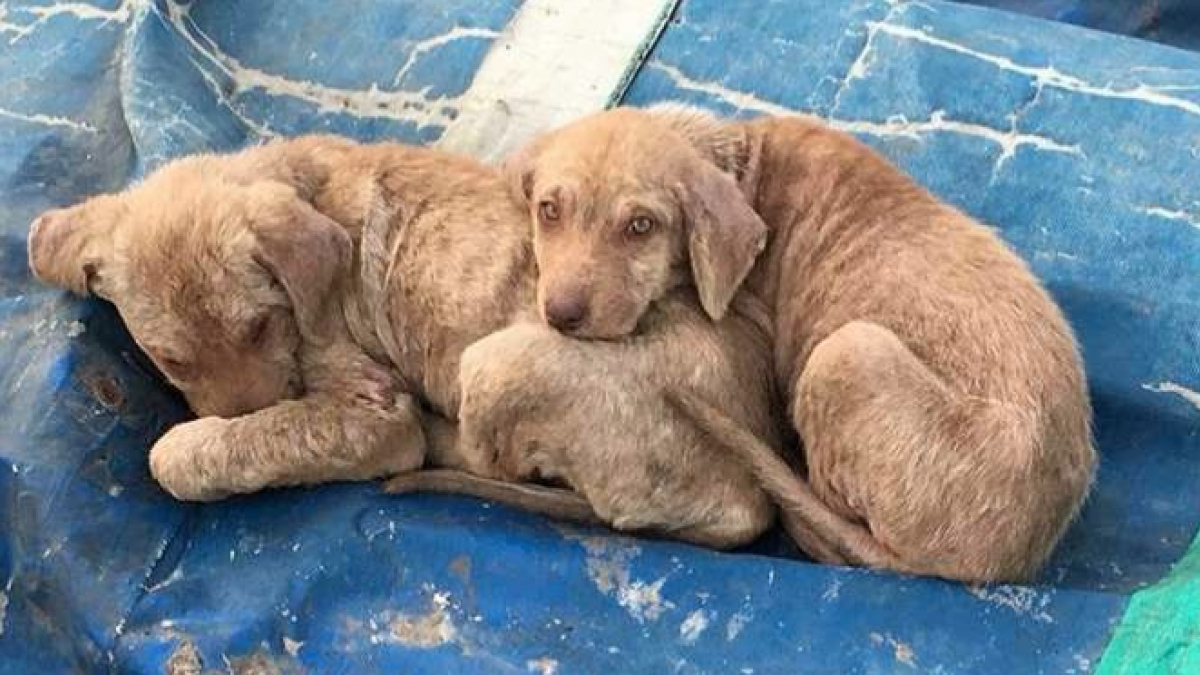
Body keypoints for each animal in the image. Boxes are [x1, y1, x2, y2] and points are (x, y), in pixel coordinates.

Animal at [28, 133, 782, 550]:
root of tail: (750, 501)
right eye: (170, 360)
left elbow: (191, 455)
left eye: (260, 327)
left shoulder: (372, 414)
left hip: (496, 363)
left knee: (492, 457)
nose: (246, 406)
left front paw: (200, 442)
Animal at [506, 107, 1099, 581]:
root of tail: (994, 564)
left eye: (640, 225)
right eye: (548, 210)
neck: (741, 160)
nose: (561, 316)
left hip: (845, 352)